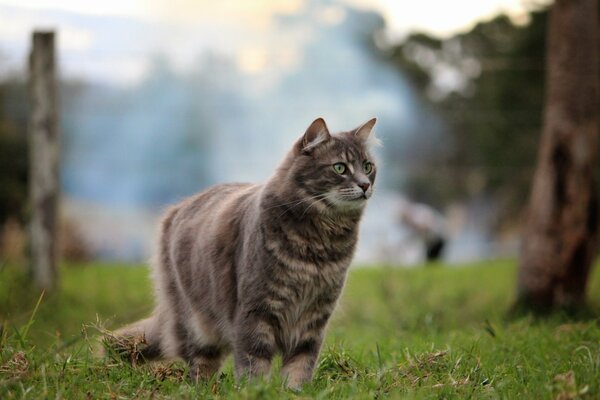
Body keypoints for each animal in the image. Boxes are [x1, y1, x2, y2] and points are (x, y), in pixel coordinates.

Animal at [106, 117, 378, 390]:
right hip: (196, 322)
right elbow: (254, 360)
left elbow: (300, 363)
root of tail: (176, 209)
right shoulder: (257, 309)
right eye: (340, 168)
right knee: (199, 362)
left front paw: (294, 391)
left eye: (368, 167)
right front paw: (256, 390)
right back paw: (204, 388)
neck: (320, 241)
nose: (365, 184)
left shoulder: (314, 317)